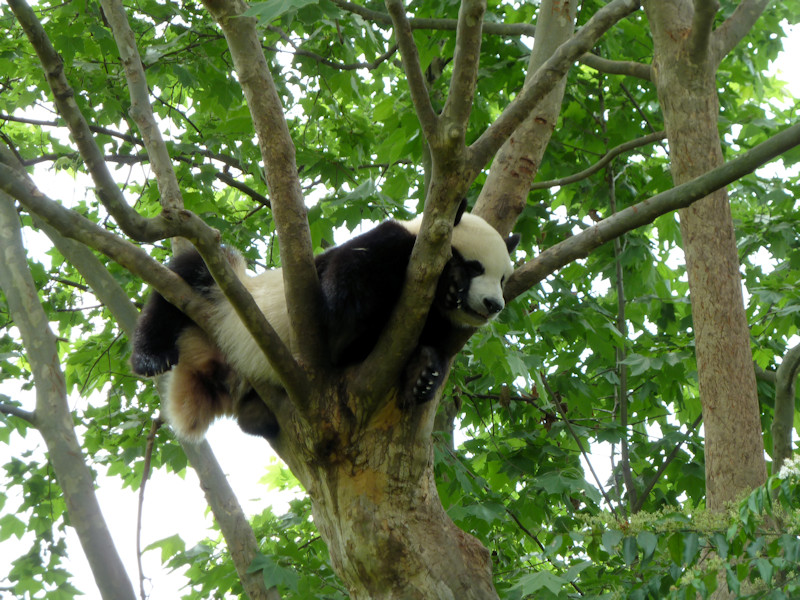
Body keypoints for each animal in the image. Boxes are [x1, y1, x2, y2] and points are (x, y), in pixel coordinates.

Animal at [131, 202, 519, 440]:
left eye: (503, 278)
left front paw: (423, 373)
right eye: (476, 267)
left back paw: (257, 415)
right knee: (187, 276)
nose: (493, 304)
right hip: (227, 297)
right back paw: (150, 355)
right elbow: (345, 315)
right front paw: (450, 283)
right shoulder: (384, 249)